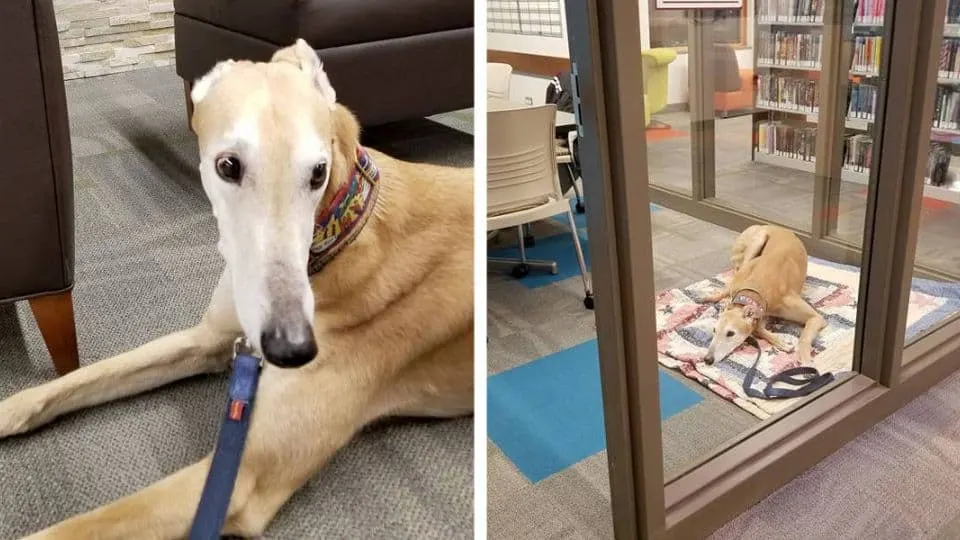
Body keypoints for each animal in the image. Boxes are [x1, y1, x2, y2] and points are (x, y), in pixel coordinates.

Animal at [0, 39, 474, 539]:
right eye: (228, 165)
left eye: (318, 172)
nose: (292, 348)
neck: (344, 236)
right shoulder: (209, 338)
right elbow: (89, 374)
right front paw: (10, 409)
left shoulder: (243, 476)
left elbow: (77, 527)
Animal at [702, 224, 826, 365]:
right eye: (714, 330)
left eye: (730, 333)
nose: (707, 359)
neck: (755, 288)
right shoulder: (762, 309)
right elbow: (757, 328)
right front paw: (781, 342)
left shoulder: (815, 318)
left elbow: (804, 337)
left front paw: (806, 359)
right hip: (754, 244)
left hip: (759, 238)